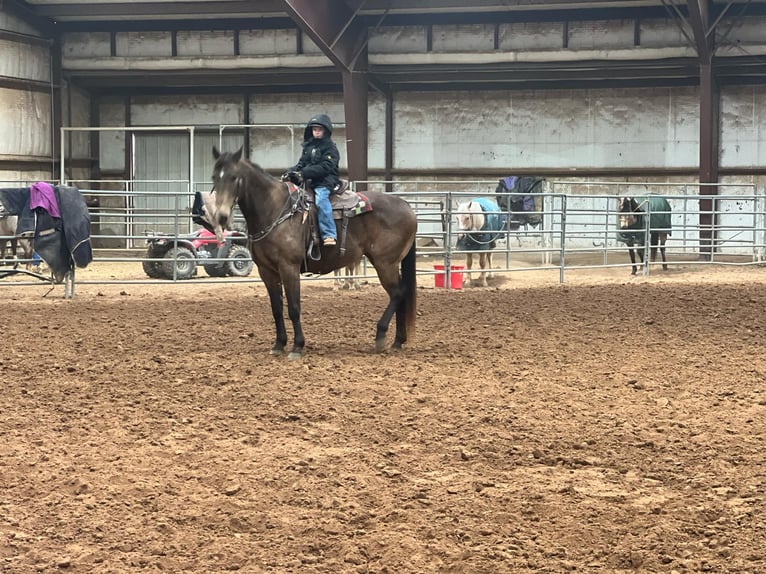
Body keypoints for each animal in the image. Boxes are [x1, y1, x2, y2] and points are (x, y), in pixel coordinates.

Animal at [210, 146, 416, 358]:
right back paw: (398, 341)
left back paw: (381, 336)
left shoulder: (289, 268)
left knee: (398, 293)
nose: (222, 217)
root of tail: (406, 206)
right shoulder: (267, 271)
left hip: (386, 263)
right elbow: (276, 309)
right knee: (400, 295)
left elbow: (294, 308)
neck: (275, 210)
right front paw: (278, 344)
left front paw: (297, 346)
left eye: (234, 177)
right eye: (214, 177)